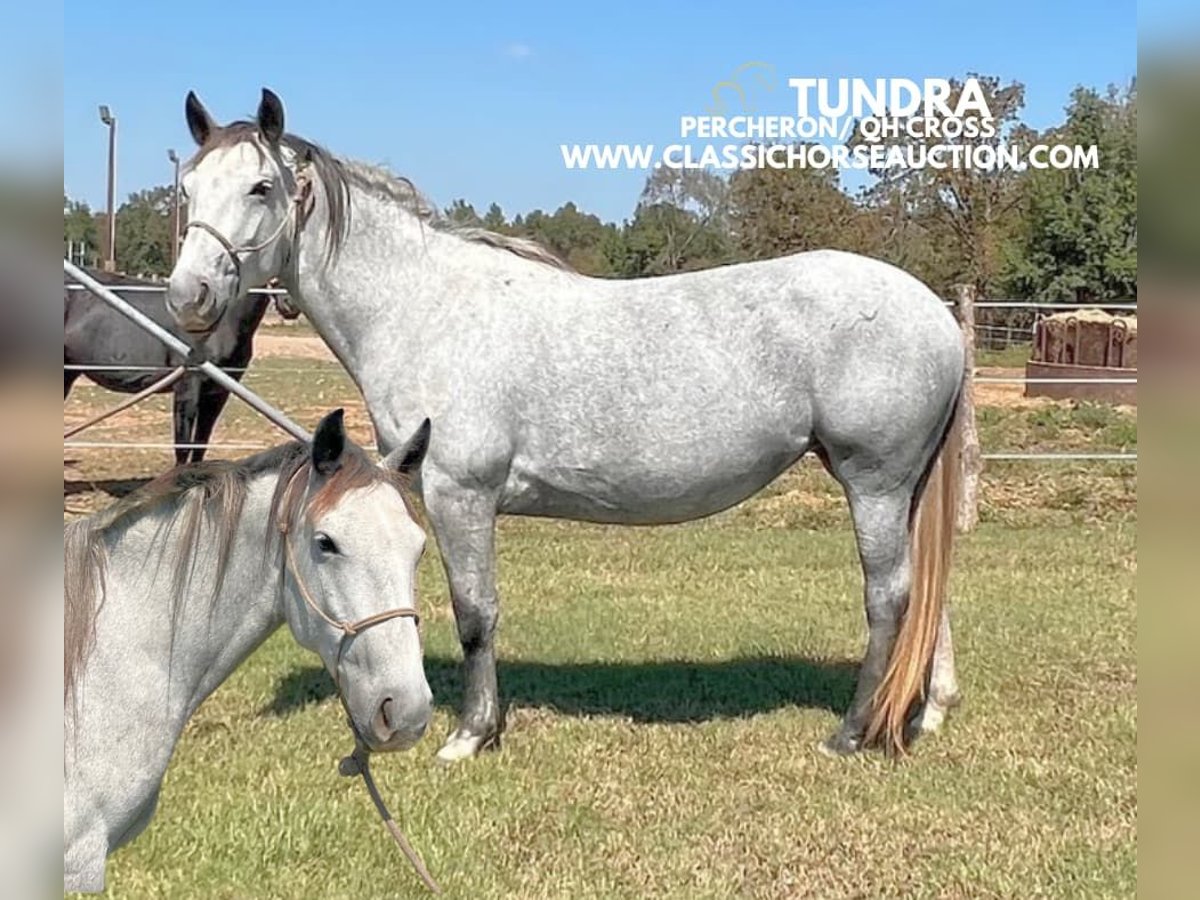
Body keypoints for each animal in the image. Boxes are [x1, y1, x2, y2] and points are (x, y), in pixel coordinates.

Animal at [164, 90, 964, 768]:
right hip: (903, 489)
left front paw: (470, 735)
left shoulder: (458, 493)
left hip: (874, 482)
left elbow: (474, 612)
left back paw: (852, 733)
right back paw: (927, 712)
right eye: (189, 188)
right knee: (929, 591)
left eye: (260, 188)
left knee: (891, 597)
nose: (188, 295)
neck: (427, 307)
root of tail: (939, 314)